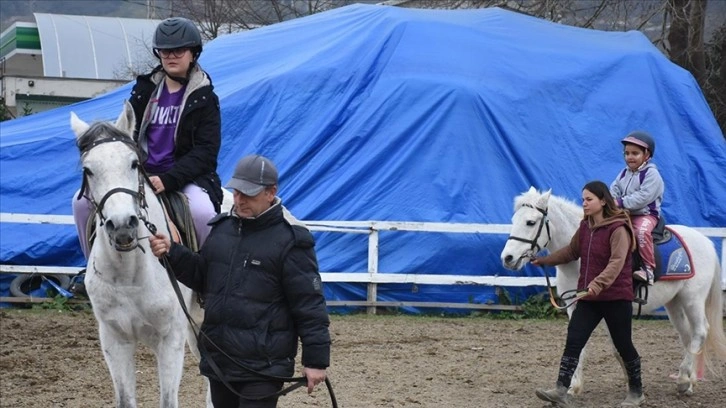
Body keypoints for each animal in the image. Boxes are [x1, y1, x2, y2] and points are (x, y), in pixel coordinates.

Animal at [70, 102, 222, 408]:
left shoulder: (170, 340)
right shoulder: (115, 340)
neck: (130, 273)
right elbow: (125, 400)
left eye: (133, 163)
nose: (122, 226)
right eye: (88, 170)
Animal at [500, 187, 726, 396]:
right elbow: (589, 344)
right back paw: (689, 379)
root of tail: (706, 241)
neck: (582, 256)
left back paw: (684, 381)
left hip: (692, 300)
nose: (507, 258)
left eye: (530, 222)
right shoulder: (578, 307)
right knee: (687, 336)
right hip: (674, 303)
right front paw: (574, 387)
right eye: (513, 219)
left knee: (700, 331)